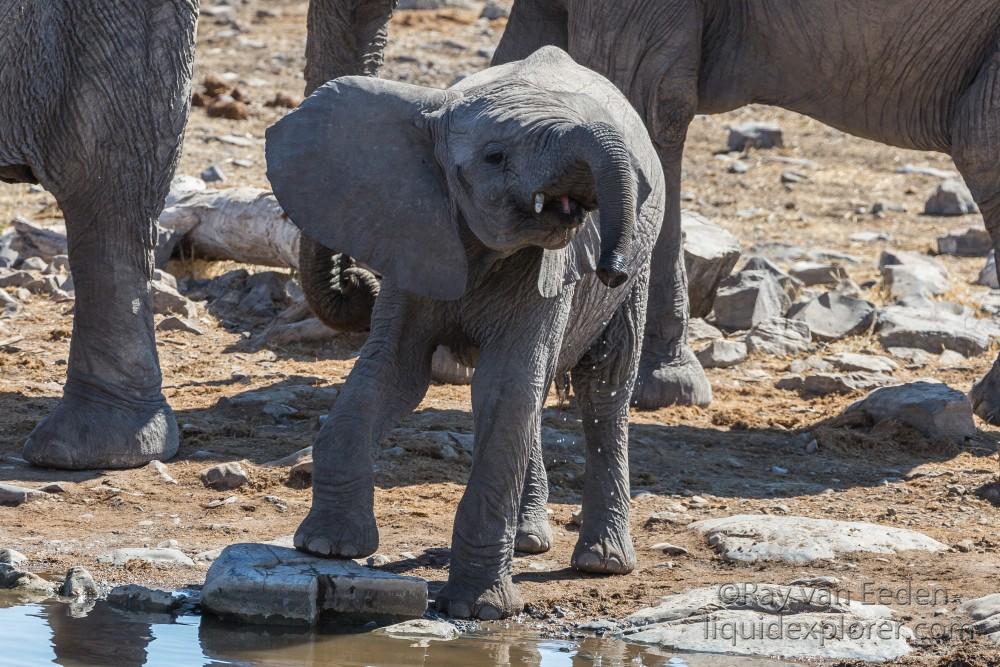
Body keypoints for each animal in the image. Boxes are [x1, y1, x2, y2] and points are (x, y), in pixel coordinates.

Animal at [266, 47, 664, 620]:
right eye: (495, 157)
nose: (610, 267)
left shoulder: (550, 270)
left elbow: (506, 386)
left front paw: (480, 611)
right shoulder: (412, 234)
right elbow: (393, 373)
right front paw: (328, 547)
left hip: (640, 270)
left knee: (603, 389)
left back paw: (602, 562)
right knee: (537, 395)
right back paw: (528, 541)